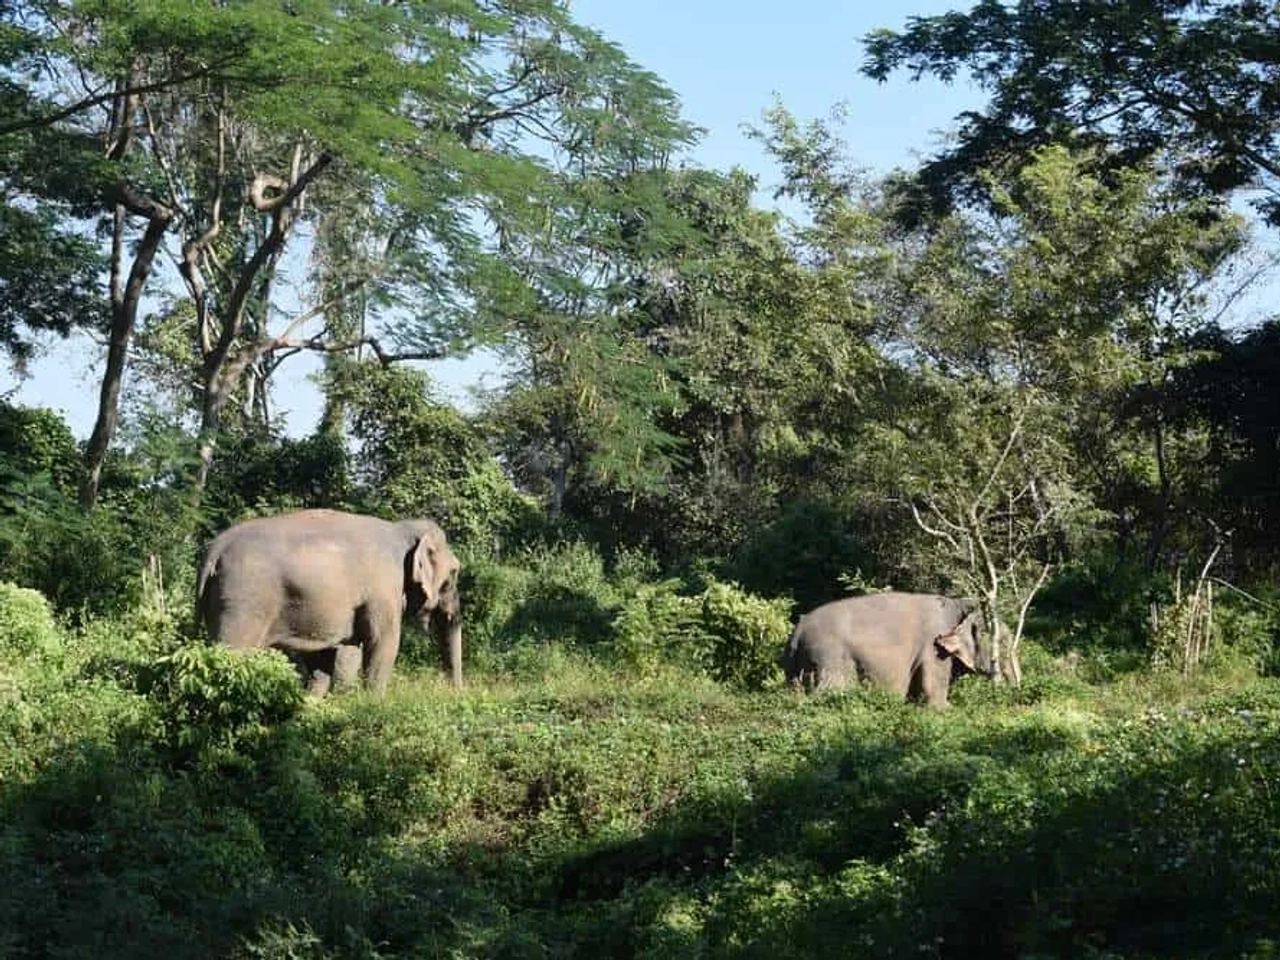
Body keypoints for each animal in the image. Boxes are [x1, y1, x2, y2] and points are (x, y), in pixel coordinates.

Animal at [196, 508, 462, 697]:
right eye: (455, 572)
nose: (455, 693)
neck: (402, 528)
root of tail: (215, 548)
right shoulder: (383, 589)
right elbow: (382, 642)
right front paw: (372, 703)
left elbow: (337, 653)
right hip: (244, 599)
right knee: (234, 652)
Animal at [780, 591, 996, 707]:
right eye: (990, 634)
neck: (957, 603)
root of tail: (797, 631)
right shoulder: (934, 645)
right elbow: (933, 683)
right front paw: (946, 709)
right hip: (829, 657)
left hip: (795, 669)